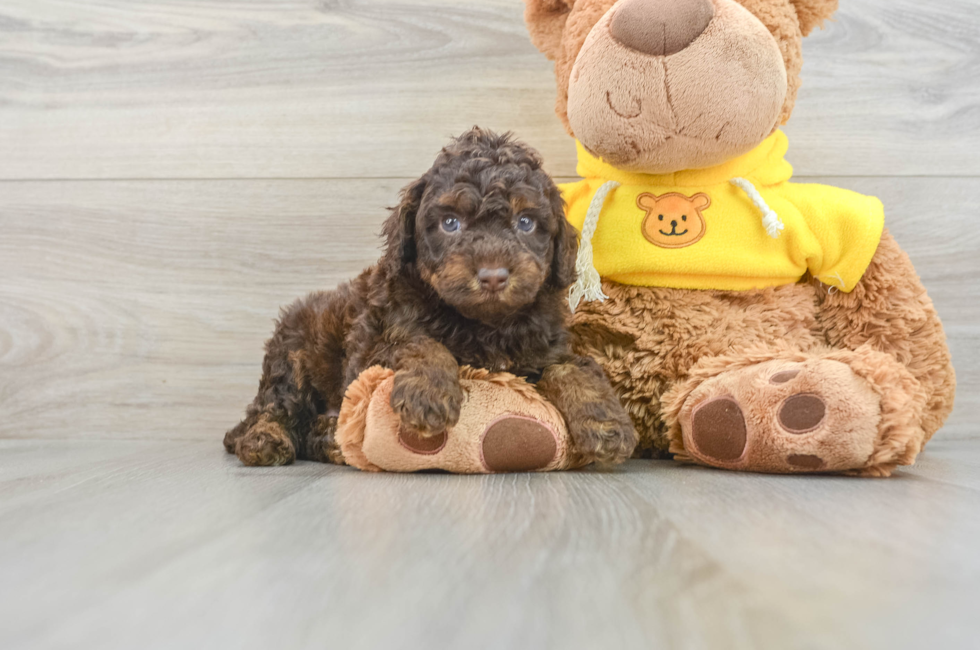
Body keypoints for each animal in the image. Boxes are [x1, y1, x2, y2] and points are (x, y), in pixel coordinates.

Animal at [223, 126, 640, 468]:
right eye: (450, 223)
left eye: (525, 223)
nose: (493, 276)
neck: (484, 323)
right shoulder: (374, 344)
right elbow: (420, 342)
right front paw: (428, 394)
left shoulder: (546, 348)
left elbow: (574, 368)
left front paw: (606, 425)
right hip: (293, 352)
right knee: (273, 408)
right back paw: (266, 440)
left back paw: (328, 439)